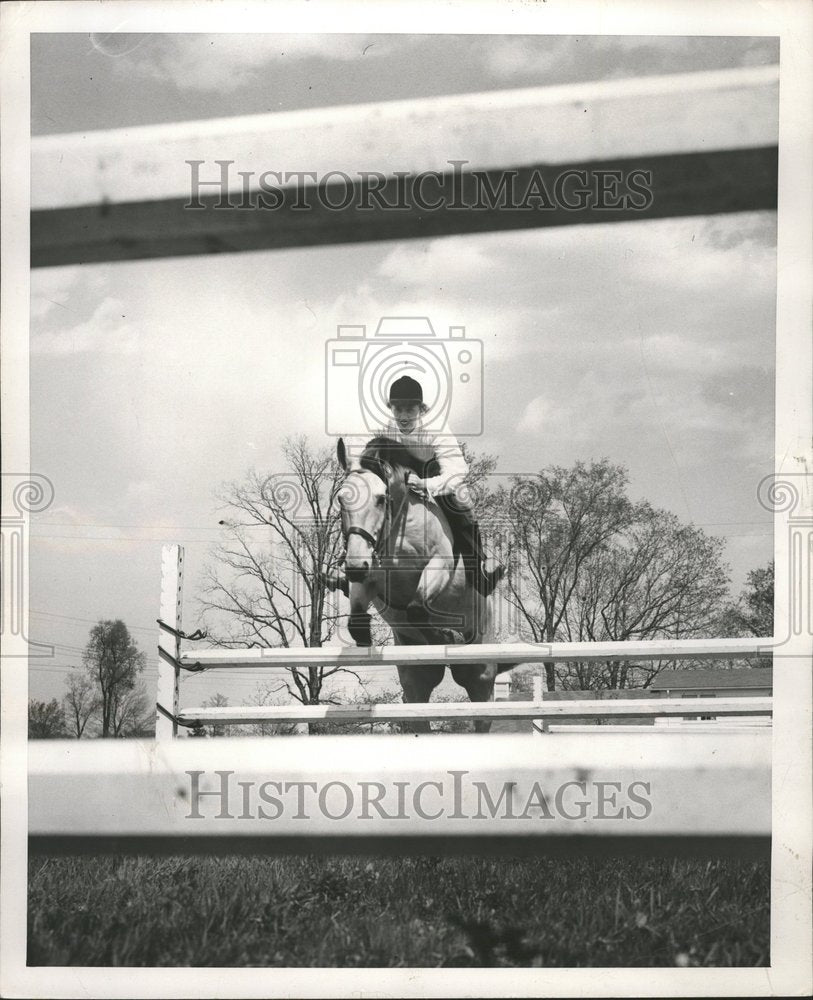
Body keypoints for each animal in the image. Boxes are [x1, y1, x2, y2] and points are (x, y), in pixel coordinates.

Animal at [334, 438, 510, 736]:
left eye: (380, 499)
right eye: (340, 499)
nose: (354, 566)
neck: (397, 527)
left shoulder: (440, 565)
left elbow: (416, 608)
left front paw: (448, 636)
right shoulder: (368, 578)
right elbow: (357, 622)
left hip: (481, 675)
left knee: (481, 711)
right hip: (417, 679)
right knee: (419, 711)